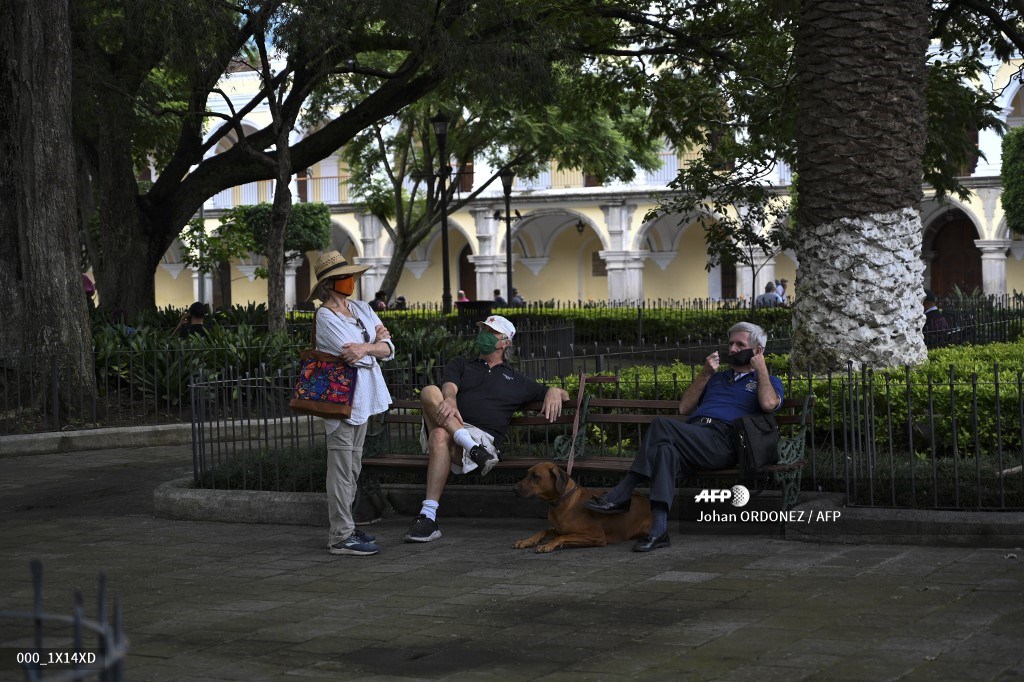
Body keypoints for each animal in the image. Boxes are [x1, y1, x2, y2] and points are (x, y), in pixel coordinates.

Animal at [516, 458, 651, 548]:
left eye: (536, 476)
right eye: (528, 474)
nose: (515, 488)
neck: (562, 502)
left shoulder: (597, 535)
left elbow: (563, 536)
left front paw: (548, 545)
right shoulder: (558, 529)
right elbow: (543, 531)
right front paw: (527, 541)